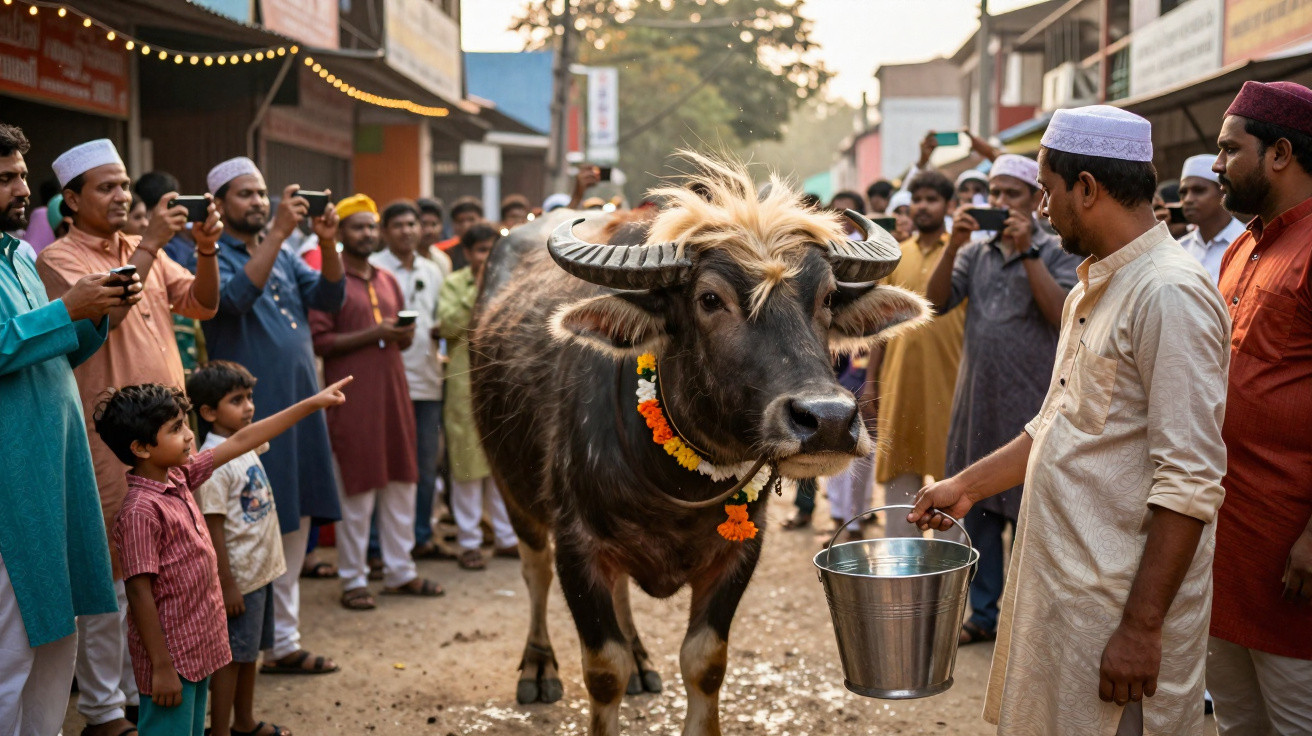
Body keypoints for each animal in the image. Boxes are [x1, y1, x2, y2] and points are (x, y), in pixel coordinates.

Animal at [469, 153, 929, 735]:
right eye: (710, 299)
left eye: (826, 298)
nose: (827, 419)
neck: (674, 479)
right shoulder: (578, 545)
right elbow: (603, 670)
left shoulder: (739, 552)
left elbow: (705, 661)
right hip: (512, 487)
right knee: (535, 571)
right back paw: (537, 667)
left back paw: (641, 658)